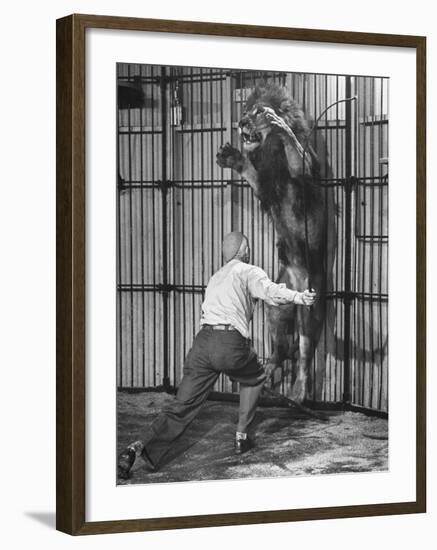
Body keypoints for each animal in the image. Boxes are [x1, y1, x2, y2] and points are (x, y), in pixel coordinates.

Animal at [215, 82, 328, 406]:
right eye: (244, 111)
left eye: (257, 112)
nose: (241, 122)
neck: (271, 152)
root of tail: (293, 278)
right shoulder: (265, 185)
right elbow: (251, 173)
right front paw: (233, 158)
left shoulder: (308, 172)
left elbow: (298, 154)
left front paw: (280, 125)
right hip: (277, 307)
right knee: (280, 350)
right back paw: (264, 374)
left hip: (308, 299)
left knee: (303, 352)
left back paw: (298, 392)